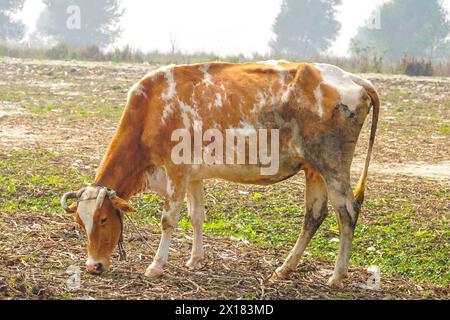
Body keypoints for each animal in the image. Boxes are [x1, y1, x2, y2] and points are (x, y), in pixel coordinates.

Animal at [60, 60, 380, 288]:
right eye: (79, 223)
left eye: (103, 219)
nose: (93, 266)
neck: (151, 109)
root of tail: (352, 78)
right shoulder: (193, 175)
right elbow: (196, 216)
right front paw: (195, 259)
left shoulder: (175, 171)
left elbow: (168, 221)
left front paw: (157, 266)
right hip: (314, 169)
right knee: (314, 215)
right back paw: (284, 269)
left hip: (333, 165)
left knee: (347, 213)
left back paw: (337, 276)